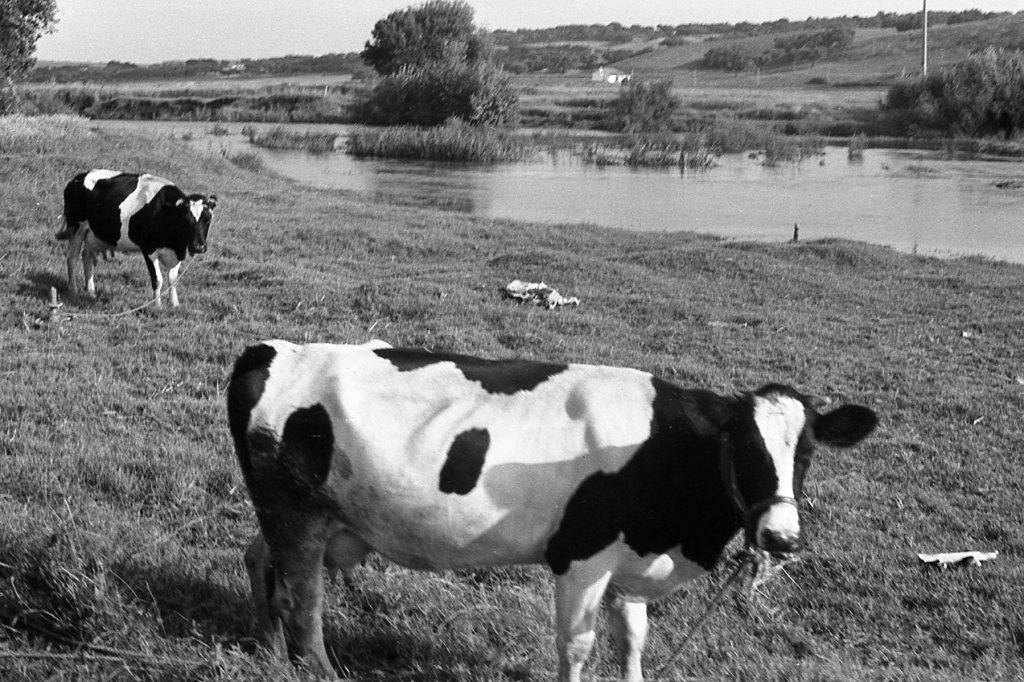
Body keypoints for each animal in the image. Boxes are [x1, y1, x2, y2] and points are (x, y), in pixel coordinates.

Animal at [58, 169, 217, 307]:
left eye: (208, 218)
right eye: (185, 219)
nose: (199, 246)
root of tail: (77, 178)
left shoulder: (178, 250)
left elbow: (173, 279)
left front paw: (174, 304)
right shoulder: (148, 249)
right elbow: (157, 279)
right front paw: (157, 305)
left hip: (93, 234)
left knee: (87, 256)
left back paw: (90, 291)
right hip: (76, 228)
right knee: (72, 257)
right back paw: (73, 290)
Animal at [226, 340, 878, 682]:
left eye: (807, 452)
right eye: (743, 449)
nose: (782, 537)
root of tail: (271, 350)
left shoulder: (630, 561)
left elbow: (633, 638)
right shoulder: (581, 558)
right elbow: (578, 644)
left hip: (301, 517)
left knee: (261, 560)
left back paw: (269, 648)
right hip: (298, 514)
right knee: (305, 605)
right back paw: (311, 664)